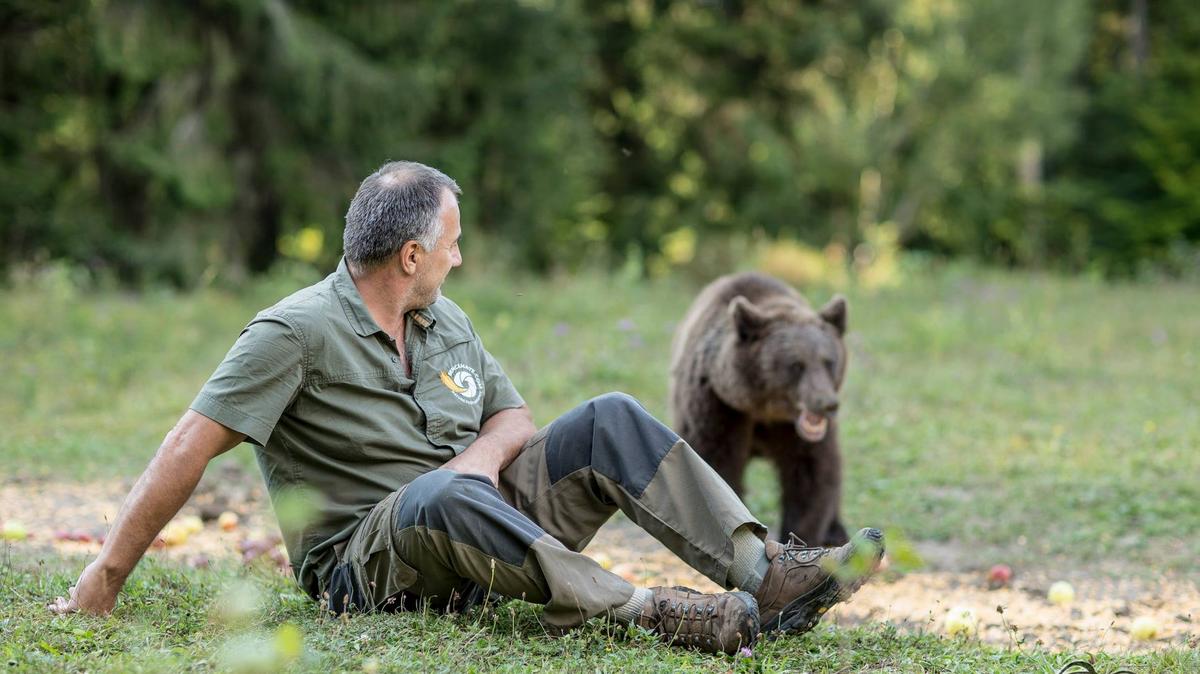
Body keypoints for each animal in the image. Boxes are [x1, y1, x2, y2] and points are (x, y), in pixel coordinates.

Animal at [672, 269, 849, 542]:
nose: (826, 403)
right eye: (796, 365)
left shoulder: (794, 432)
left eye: (828, 361)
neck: (762, 409)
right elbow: (716, 463)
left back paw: (837, 531)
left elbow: (812, 475)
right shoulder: (719, 405)